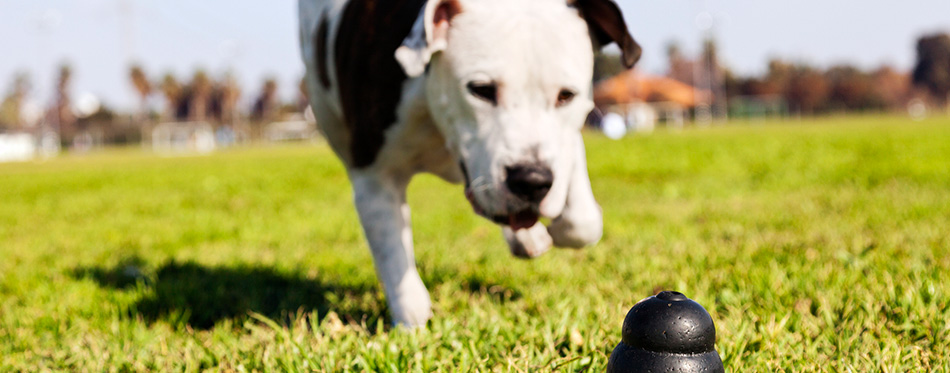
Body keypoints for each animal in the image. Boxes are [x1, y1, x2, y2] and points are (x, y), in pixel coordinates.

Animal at [298, 0, 640, 326]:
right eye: (481, 90)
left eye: (566, 95)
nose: (530, 180)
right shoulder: (374, 177)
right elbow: (398, 270)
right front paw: (413, 328)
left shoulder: (561, 146)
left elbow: (582, 222)